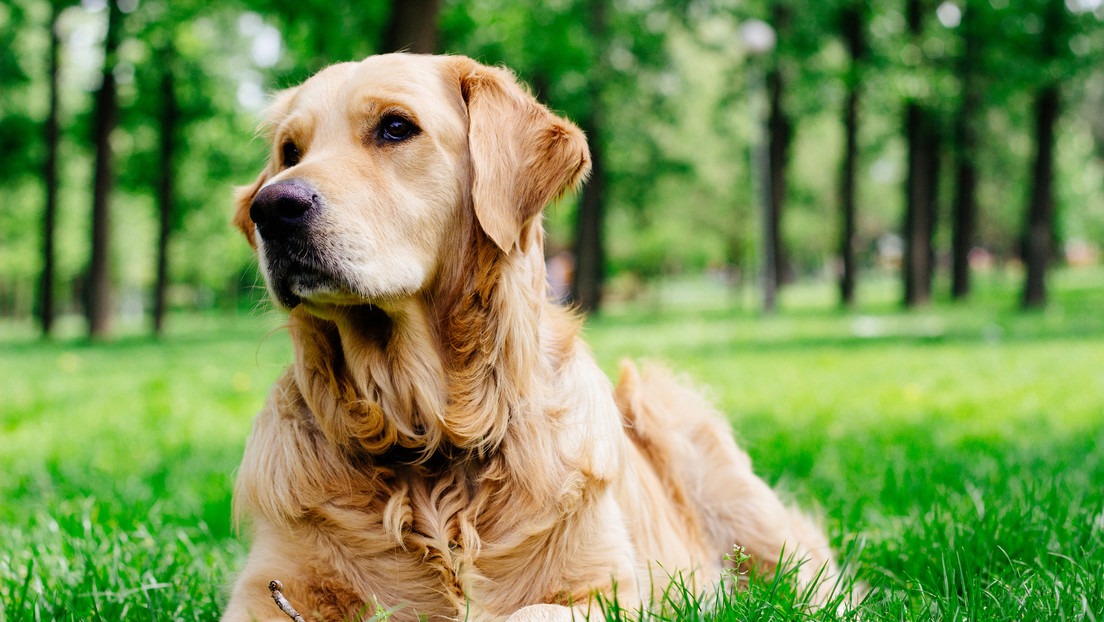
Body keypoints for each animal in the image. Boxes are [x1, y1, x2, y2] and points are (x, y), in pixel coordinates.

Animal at [226, 53, 843, 622]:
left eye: (396, 127)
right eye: (289, 151)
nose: (271, 208)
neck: (429, 438)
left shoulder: (605, 589)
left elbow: (530, 611)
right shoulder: (268, 588)